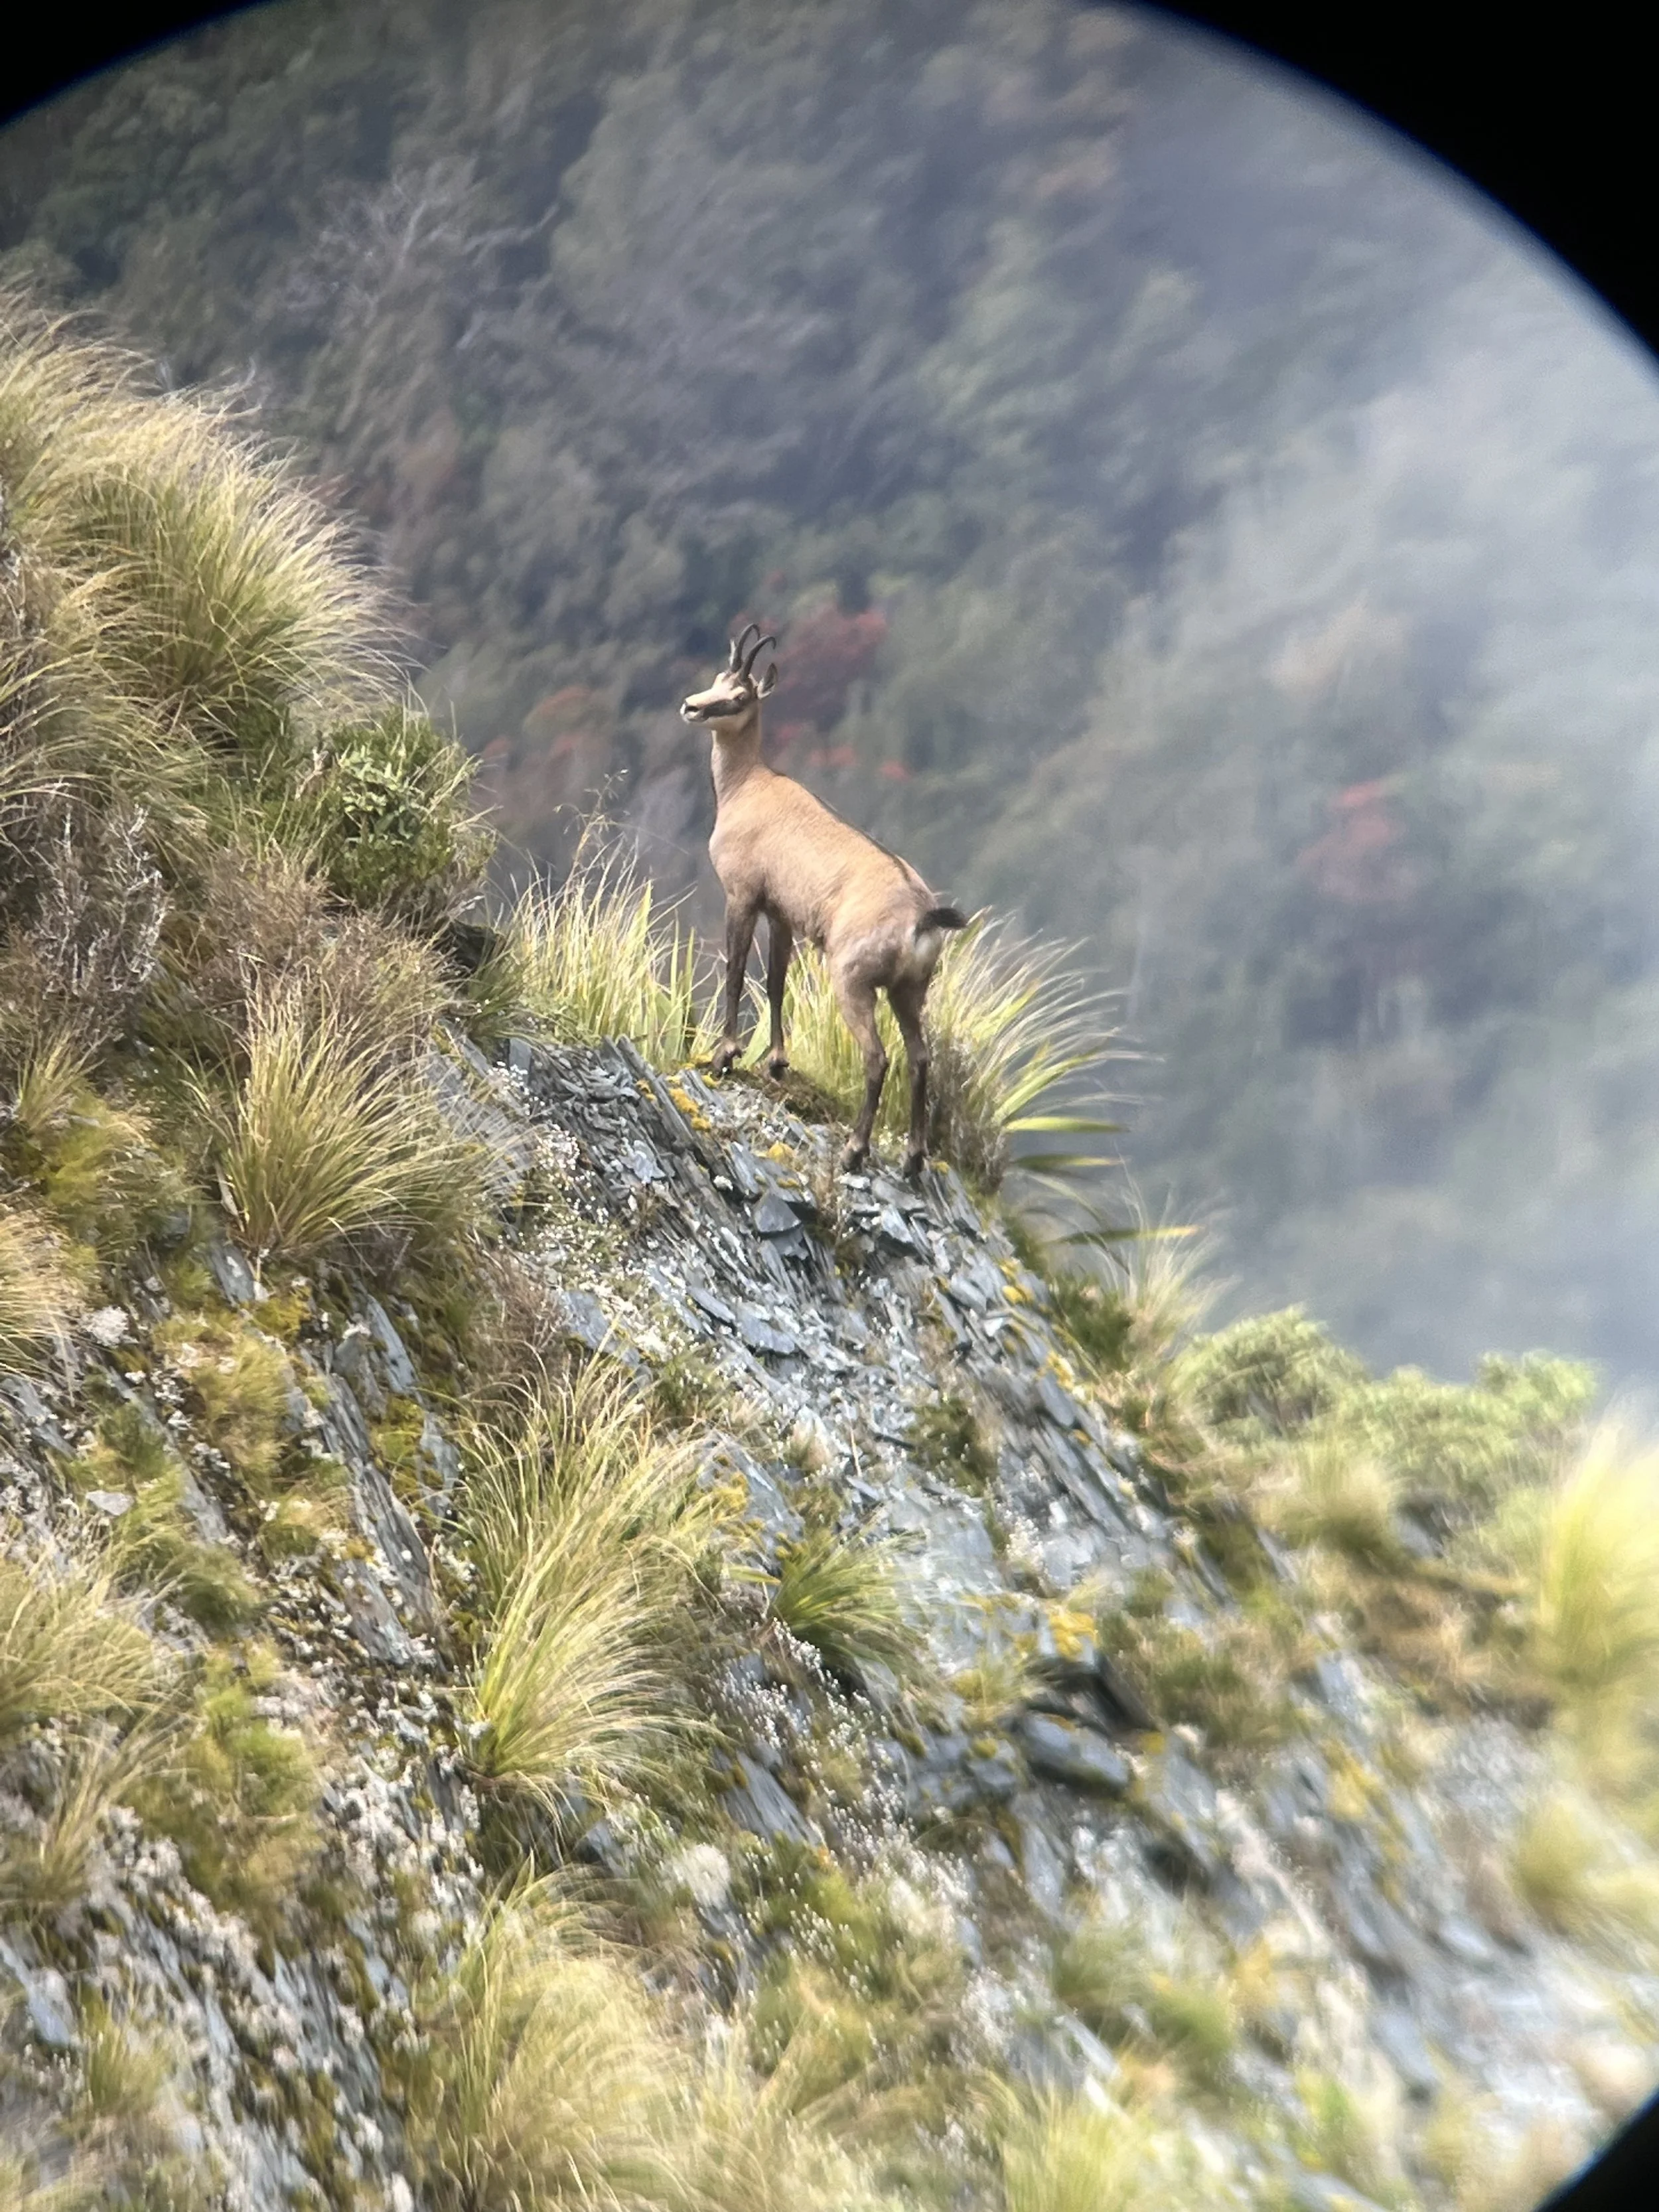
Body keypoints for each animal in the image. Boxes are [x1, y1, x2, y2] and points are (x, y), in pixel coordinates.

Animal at [680, 621, 967, 1180]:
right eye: (718, 677)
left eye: (741, 696)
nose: (692, 706)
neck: (748, 787)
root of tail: (922, 918)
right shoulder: (781, 914)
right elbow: (774, 983)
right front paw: (775, 1060)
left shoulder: (743, 895)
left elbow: (735, 971)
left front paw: (724, 1055)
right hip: (910, 989)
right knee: (921, 1057)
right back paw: (913, 1159)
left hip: (853, 981)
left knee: (878, 1058)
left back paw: (856, 1149)